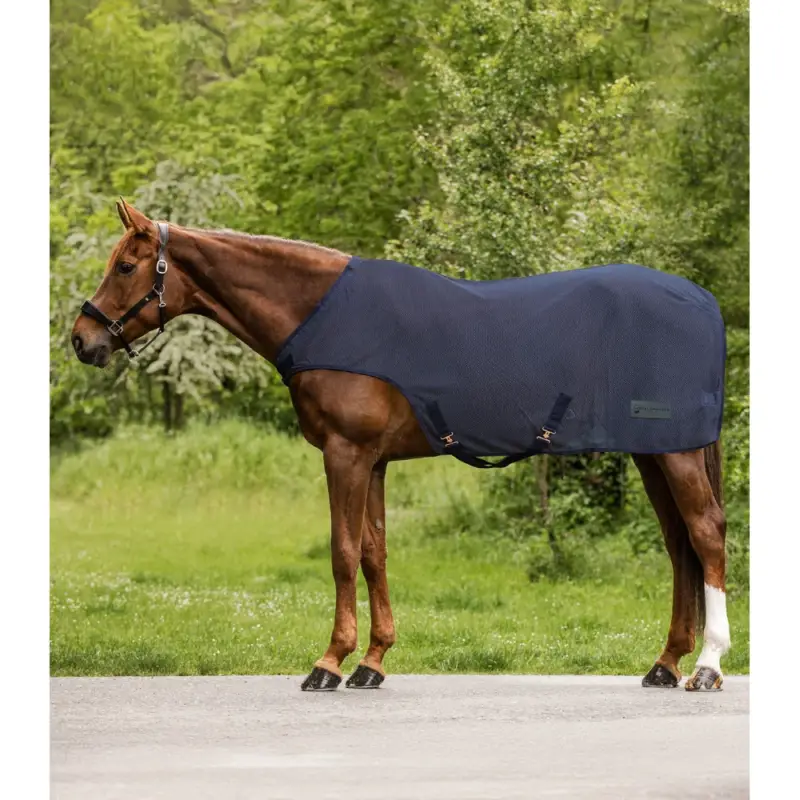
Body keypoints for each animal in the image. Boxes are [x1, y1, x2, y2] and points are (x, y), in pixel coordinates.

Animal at [71, 199, 731, 692]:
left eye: (126, 266)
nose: (81, 339)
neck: (324, 318)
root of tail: (701, 300)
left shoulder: (346, 455)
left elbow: (341, 552)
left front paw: (329, 661)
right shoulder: (375, 462)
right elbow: (374, 553)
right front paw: (372, 661)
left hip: (674, 454)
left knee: (705, 534)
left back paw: (706, 666)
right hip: (653, 453)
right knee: (679, 546)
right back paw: (665, 663)